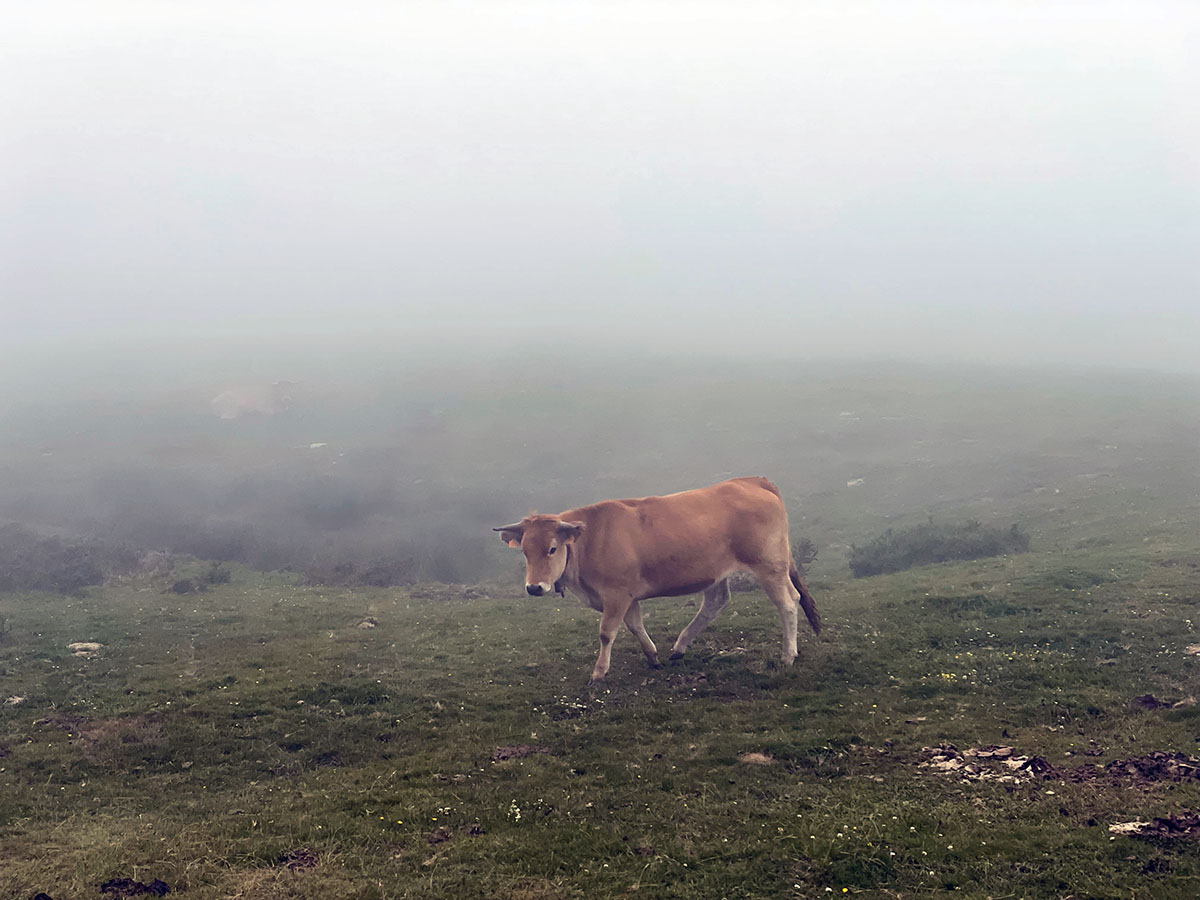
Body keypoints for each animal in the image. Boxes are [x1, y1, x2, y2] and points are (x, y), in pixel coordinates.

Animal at [494, 476, 822, 684]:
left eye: (552, 548)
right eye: (524, 551)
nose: (534, 587)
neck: (589, 540)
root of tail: (751, 481)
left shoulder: (616, 594)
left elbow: (607, 633)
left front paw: (599, 672)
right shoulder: (627, 596)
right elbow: (635, 626)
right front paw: (653, 656)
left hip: (770, 566)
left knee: (788, 603)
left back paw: (788, 655)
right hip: (717, 570)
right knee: (717, 602)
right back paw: (680, 646)